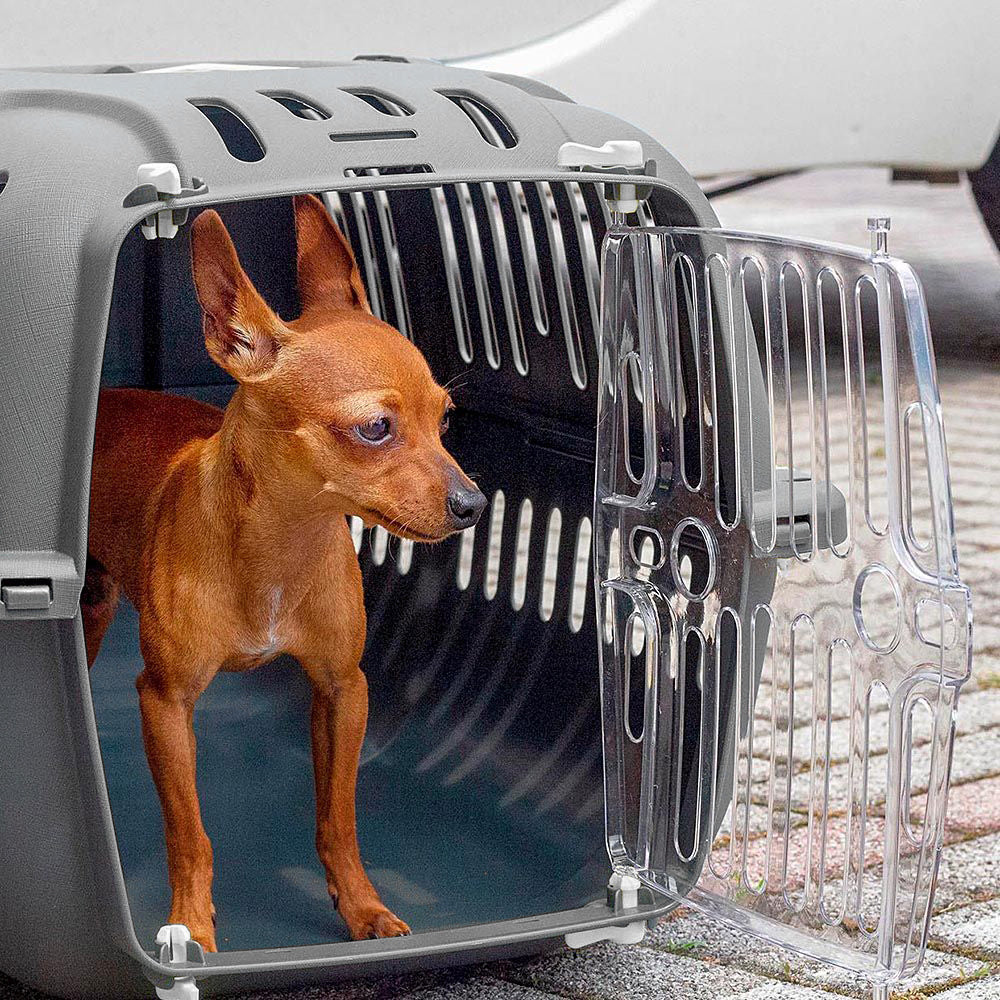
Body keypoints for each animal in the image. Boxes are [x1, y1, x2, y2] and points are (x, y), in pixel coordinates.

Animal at [84, 197, 486, 952]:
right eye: (376, 428)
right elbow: (191, 835)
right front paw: (191, 927)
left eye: (446, 419)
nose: (473, 505)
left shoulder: (342, 690)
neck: (282, 546)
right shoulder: (165, 703)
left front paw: (362, 908)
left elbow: (339, 820)